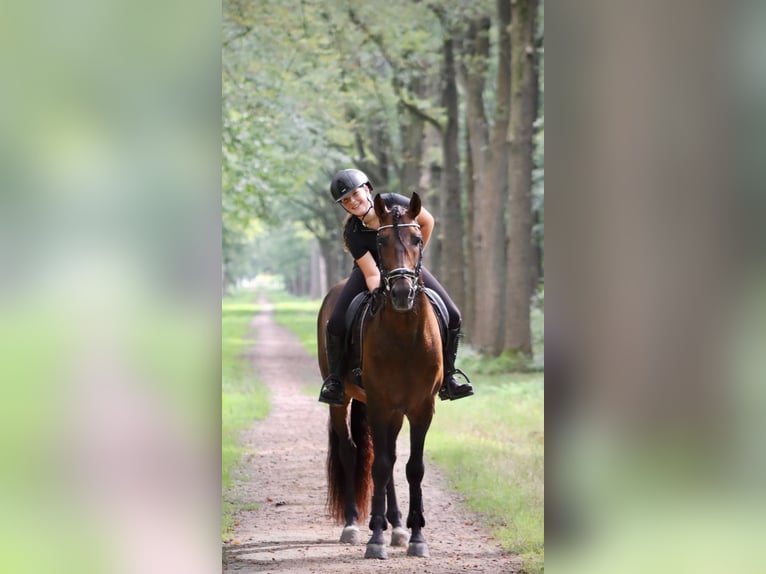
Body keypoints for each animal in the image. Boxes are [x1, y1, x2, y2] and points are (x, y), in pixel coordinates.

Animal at [318, 194, 444, 564]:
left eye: (417, 239)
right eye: (380, 243)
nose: (402, 293)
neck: (405, 334)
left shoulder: (421, 408)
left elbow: (412, 468)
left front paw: (415, 536)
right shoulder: (378, 404)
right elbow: (379, 466)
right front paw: (375, 538)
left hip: (395, 411)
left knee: (388, 458)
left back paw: (398, 527)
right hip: (346, 400)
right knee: (351, 452)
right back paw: (352, 526)